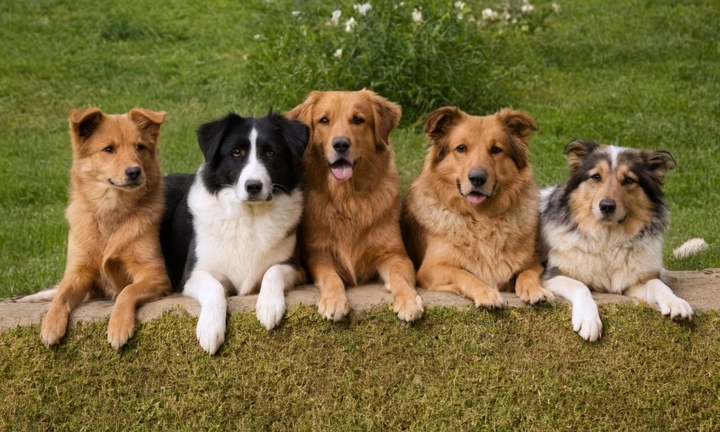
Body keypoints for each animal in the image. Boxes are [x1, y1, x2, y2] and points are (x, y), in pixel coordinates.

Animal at [18, 108, 172, 352]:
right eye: (109, 149)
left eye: (139, 147)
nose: (134, 171)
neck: (111, 211)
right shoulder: (78, 272)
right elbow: (62, 294)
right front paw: (51, 324)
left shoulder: (156, 275)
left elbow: (127, 291)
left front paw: (118, 326)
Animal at [162, 111, 308, 354]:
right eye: (236, 153)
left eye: (270, 153)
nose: (253, 186)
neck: (249, 216)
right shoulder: (192, 275)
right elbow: (214, 288)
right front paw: (210, 330)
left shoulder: (295, 267)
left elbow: (273, 271)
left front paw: (269, 306)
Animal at [286, 89, 424, 322]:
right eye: (324, 120)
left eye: (358, 120)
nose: (341, 144)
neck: (348, 199)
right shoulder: (319, 256)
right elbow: (331, 277)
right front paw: (333, 300)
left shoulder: (395, 254)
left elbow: (399, 277)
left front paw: (408, 300)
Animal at [402, 105, 556, 308]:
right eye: (461, 148)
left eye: (496, 149)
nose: (477, 178)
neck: (481, 218)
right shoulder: (430, 269)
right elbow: (464, 274)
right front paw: (486, 292)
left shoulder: (534, 262)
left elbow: (527, 273)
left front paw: (536, 290)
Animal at [540, 138, 692, 340]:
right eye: (596, 177)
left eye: (628, 180)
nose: (606, 206)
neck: (607, 239)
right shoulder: (550, 276)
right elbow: (580, 285)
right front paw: (588, 321)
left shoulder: (633, 282)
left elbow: (657, 284)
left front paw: (676, 302)